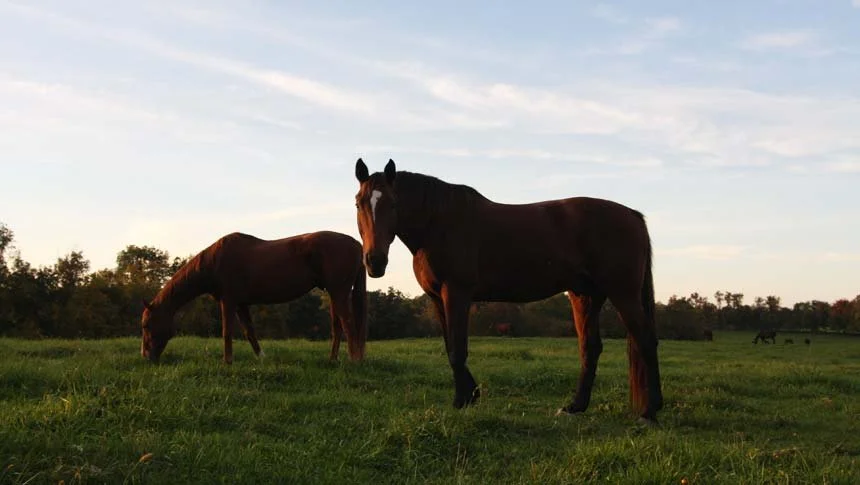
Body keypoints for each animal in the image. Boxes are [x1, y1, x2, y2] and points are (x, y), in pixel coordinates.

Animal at [140, 231, 367, 364]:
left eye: (146, 325)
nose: (146, 356)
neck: (214, 262)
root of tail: (357, 244)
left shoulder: (228, 301)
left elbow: (227, 332)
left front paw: (227, 362)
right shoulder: (241, 304)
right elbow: (249, 332)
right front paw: (261, 358)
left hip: (339, 292)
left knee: (348, 325)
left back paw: (353, 361)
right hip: (334, 294)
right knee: (338, 327)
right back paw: (333, 360)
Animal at [353, 159, 663, 423]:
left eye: (393, 203)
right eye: (358, 203)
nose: (375, 261)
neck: (438, 224)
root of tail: (632, 215)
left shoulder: (457, 293)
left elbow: (457, 349)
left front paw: (462, 400)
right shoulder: (437, 299)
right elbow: (450, 346)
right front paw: (471, 394)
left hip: (623, 293)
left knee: (646, 340)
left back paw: (650, 411)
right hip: (585, 296)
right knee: (591, 347)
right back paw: (575, 407)